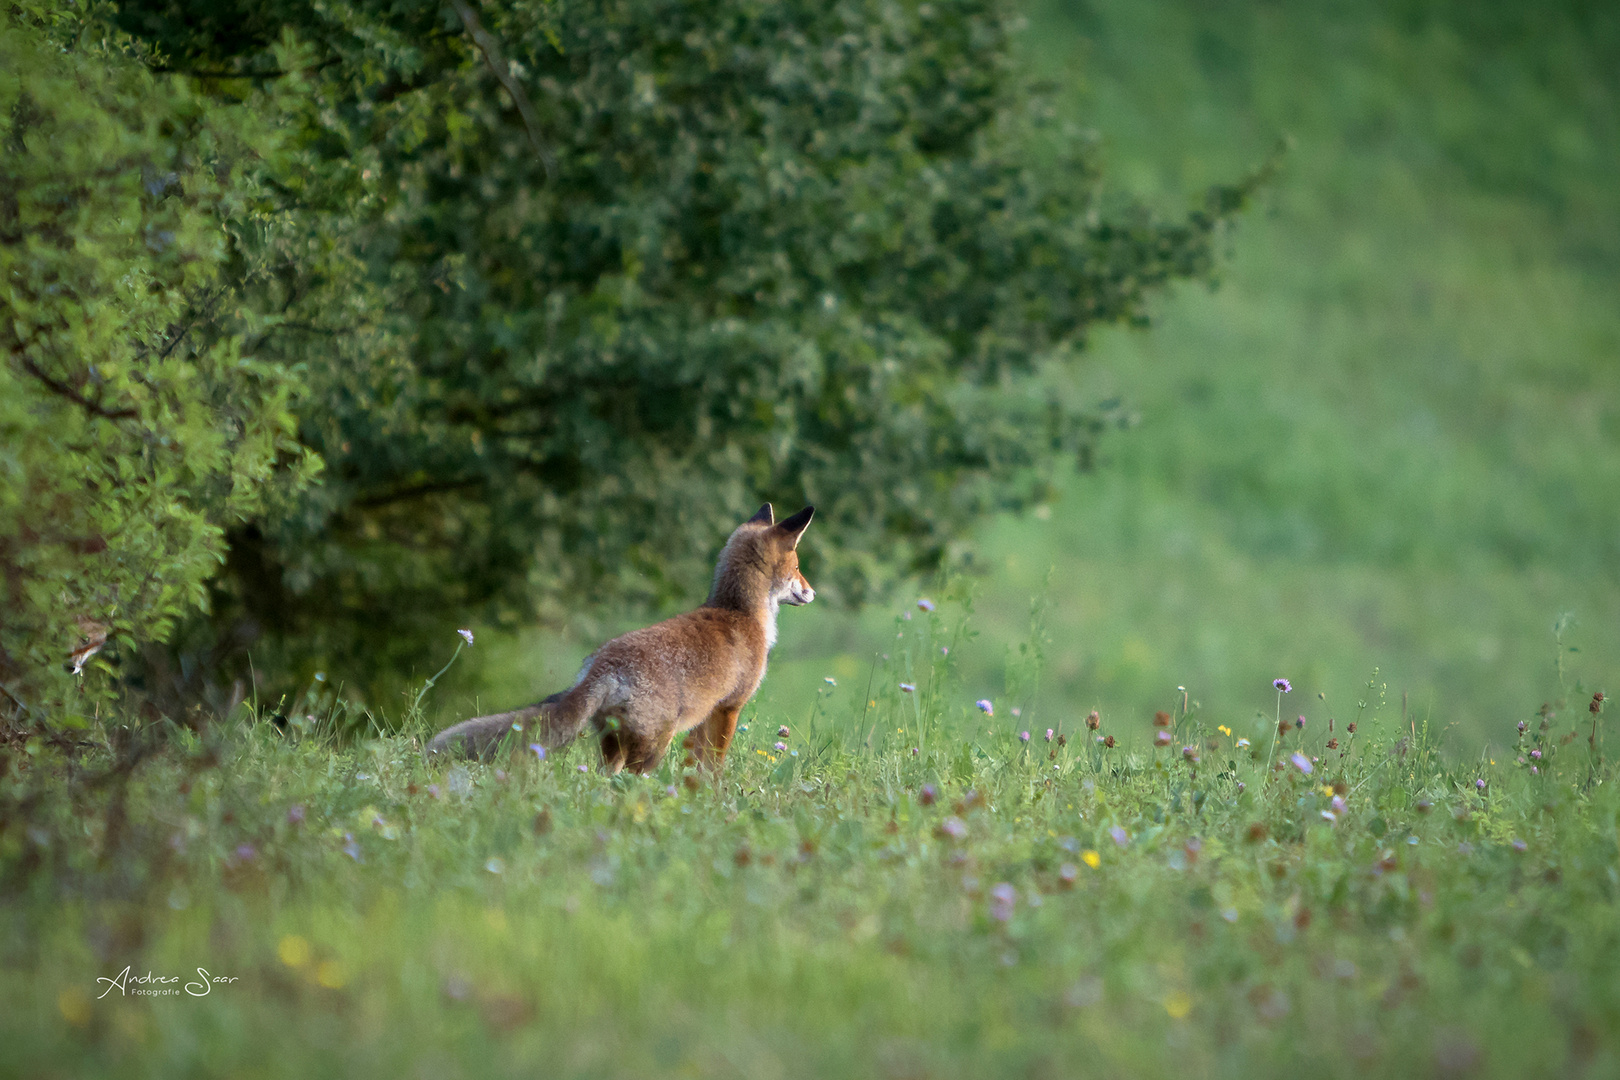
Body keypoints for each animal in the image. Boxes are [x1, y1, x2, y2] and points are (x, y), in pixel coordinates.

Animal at [427, 501, 816, 773]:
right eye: (798, 568)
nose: (812, 593)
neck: (739, 612)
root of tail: (604, 666)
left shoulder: (705, 717)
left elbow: (694, 766)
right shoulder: (729, 707)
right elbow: (713, 768)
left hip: (613, 744)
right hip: (653, 746)